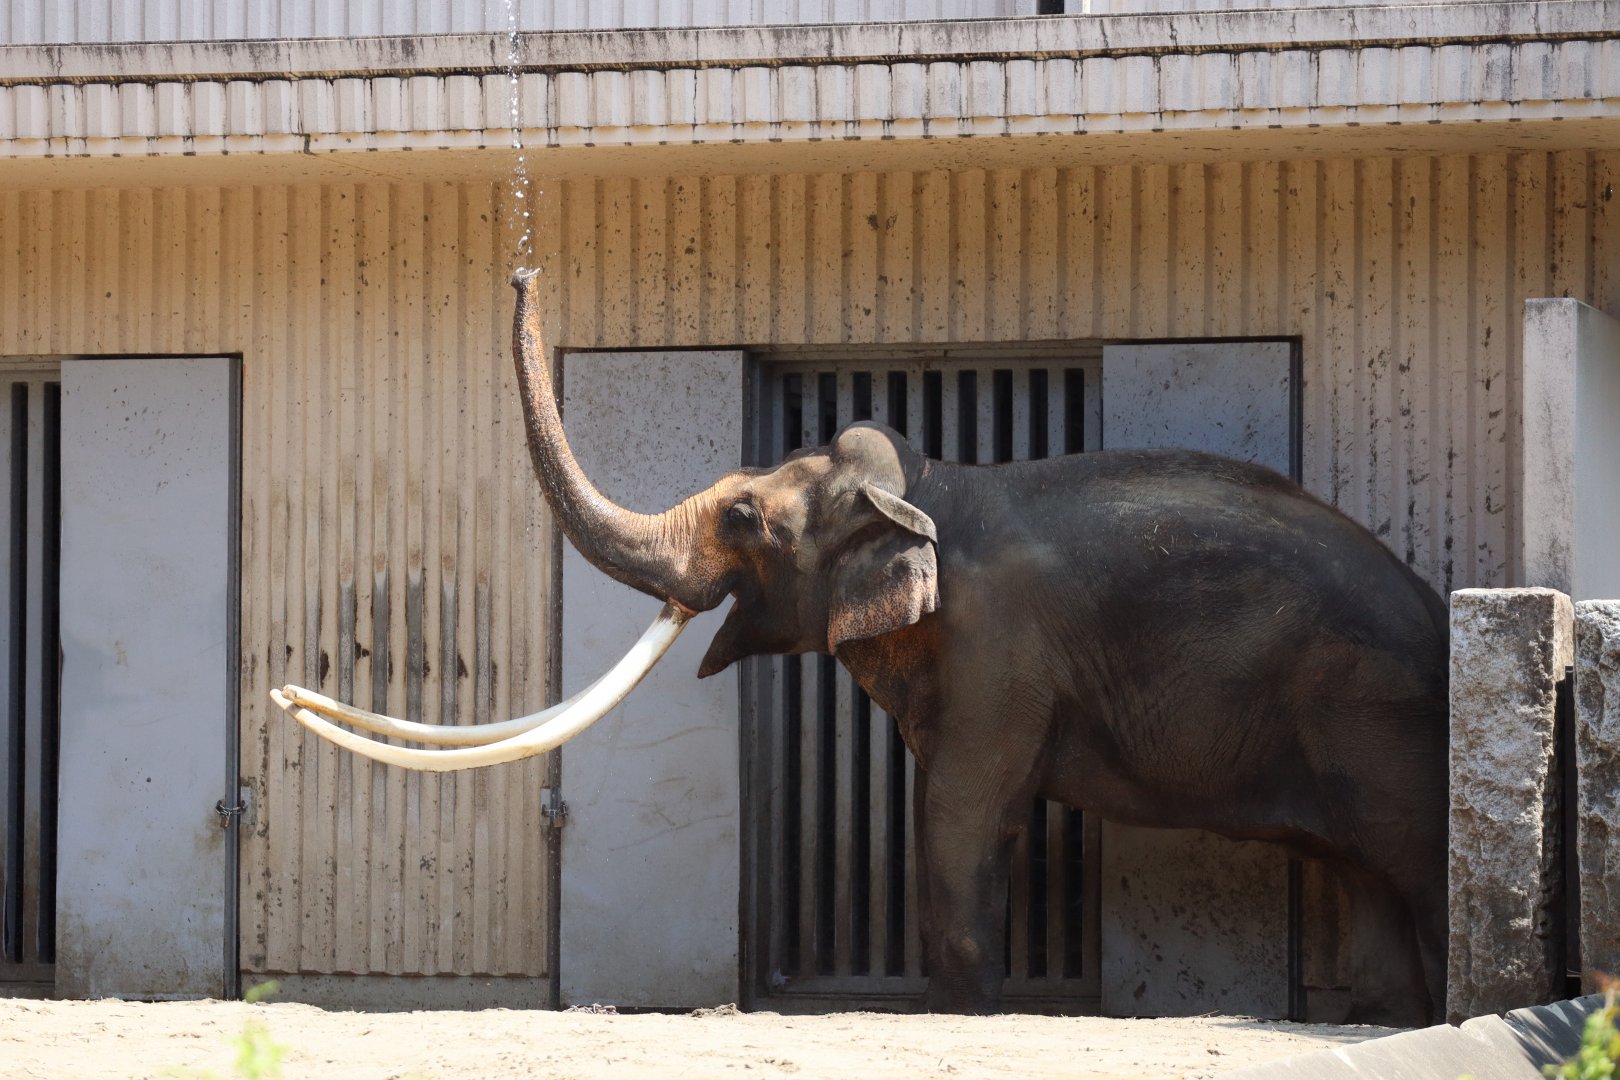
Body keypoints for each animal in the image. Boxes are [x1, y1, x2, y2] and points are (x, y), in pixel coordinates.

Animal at [276, 268, 1450, 1027]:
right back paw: (1385, 1018)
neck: (928, 488)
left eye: (743, 517)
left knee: (1413, 859)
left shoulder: (996, 650)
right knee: (1370, 883)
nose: (525, 268)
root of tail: (1439, 611)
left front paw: (964, 1018)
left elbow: (959, 816)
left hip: (1375, 712)